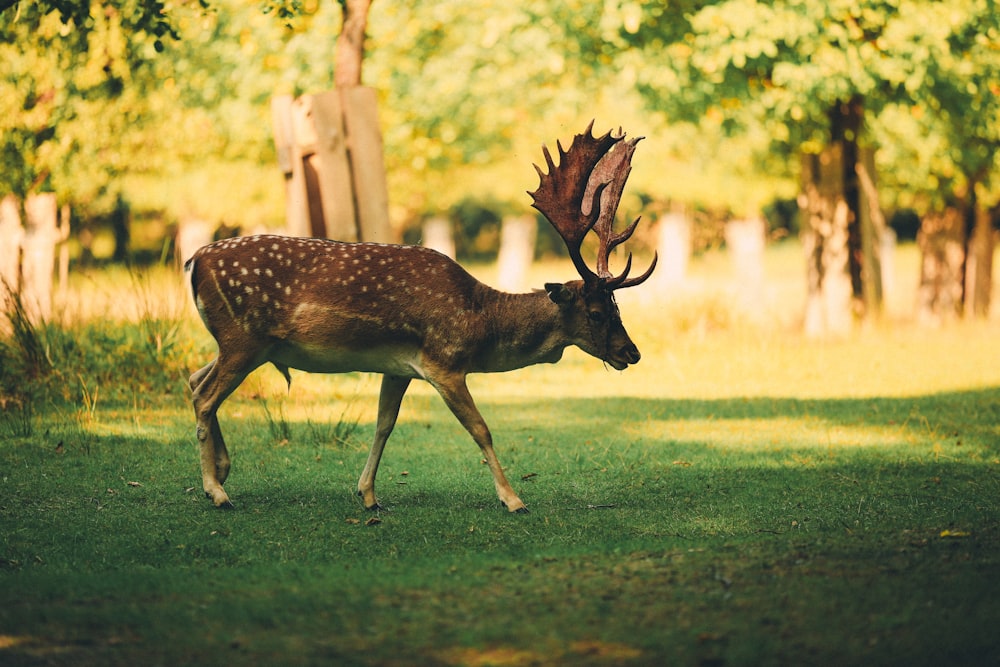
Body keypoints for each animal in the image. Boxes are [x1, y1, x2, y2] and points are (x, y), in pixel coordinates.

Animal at [186, 121, 656, 516]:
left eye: (618, 308)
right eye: (596, 313)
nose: (631, 353)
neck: (481, 321)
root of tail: (193, 262)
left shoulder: (398, 367)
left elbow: (384, 425)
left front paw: (367, 494)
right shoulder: (443, 362)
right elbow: (481, 429)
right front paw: (513, 499)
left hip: (240, 342)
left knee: (195, 380)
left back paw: (223, 469)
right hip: (244, 337)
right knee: (206, 396)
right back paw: (217, 491)